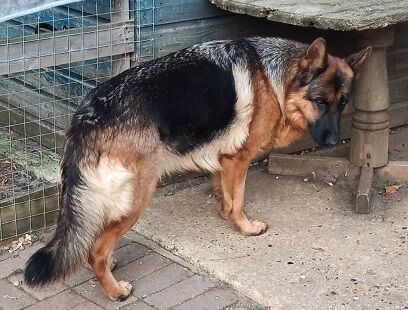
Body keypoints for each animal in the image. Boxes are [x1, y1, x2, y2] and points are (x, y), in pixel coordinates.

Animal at [23, 36, 372, 300]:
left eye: (343, 102)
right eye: (320, 101)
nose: (333, 142)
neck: (277, 79)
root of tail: (86, 116)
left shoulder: (223, 158)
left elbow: (224, 194)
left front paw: (223, 213)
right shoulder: (240, 159)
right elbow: (238, 200)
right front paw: (245, 227)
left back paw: (110, 266)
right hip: (138, 197)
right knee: (94, 248)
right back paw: (114, 290)